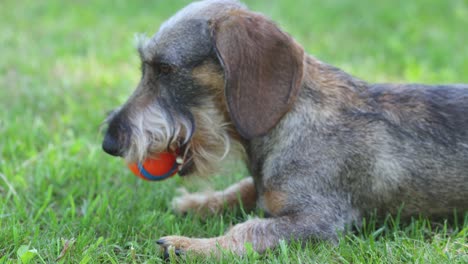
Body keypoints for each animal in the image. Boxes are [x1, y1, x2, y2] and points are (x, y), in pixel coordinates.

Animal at [102, 0, 468, 256]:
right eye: (145, 67)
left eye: (165, 69)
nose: (109, 143)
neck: (289, 119)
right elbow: (243, 189)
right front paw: (197, 203)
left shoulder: (318, 221)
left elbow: (248, 230)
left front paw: (190, 245)